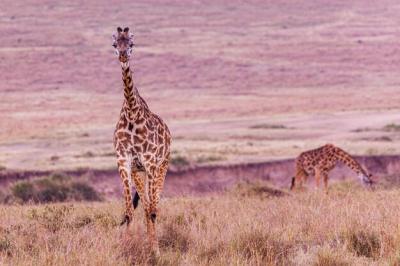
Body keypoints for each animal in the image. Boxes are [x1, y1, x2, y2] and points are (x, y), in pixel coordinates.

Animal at [111, 27, 171, 254]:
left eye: (132, 43)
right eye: (114, 44)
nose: (123, 55)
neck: (131, 113)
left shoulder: (151, 163)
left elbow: (153, 210)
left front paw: (156, 252)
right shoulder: (124, 162)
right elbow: (129, 211)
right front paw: (124, 248)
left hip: (162, 166)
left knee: (153, 207)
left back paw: (153, 245)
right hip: (139, 173)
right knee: (145, 206)